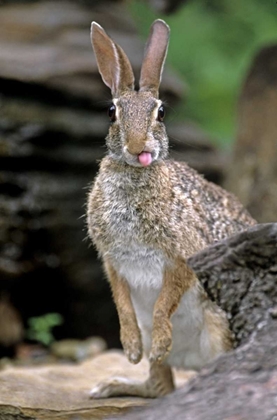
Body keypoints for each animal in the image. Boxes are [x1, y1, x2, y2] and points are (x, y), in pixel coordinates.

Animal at [85, 19, 254, 398]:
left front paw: (163, 341)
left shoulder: (182, 256)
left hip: (220, 330)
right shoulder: (112, 261)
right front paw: (131, 349)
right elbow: (121, 302)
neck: (134, 177)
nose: (138, 148)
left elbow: (165, 302)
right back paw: (112, 384)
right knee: (158, 387)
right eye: (111, 112)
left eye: (160, 112)